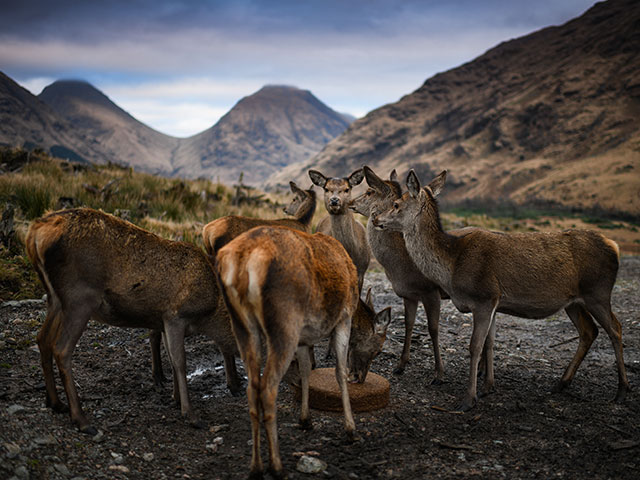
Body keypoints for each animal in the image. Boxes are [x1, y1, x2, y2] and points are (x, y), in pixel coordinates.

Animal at [24, 207, 240, 436]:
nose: (241, 386)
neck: (208, 313)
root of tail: (35, 232)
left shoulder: (163, 320)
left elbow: (171, 359)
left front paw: (175, 398)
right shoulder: (175, 316)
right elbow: (180, 362)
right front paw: (190, 414)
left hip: (55, 298)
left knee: (42, 339)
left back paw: (55, 403)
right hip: (79, 298)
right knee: (61, 348)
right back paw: (81, 419)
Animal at [215, 226, 390, 480]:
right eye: (378, 350)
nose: (361, 377)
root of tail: (242, 261)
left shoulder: (304, 336)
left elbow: (306, 371)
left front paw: (306, 420)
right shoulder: (343, 319)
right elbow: (339, 371)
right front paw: (351, 429)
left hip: (243, 325)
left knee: (252, 387)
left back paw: (256, 467)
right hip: (284, 321)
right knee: (268, 388)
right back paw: (277, 466)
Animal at [376, 171, 632, 410]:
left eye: (396, 204)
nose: (377, 218)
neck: (453, 265)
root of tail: (615, 246)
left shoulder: (484, 297)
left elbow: (474, 346)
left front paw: (468, 399)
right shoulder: (494, 301)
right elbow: (489, 342)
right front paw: (488, 387)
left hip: (598, 292)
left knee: (615, 329)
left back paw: (621, 391)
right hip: (574, 301)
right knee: (589, 331)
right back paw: (561, 383)